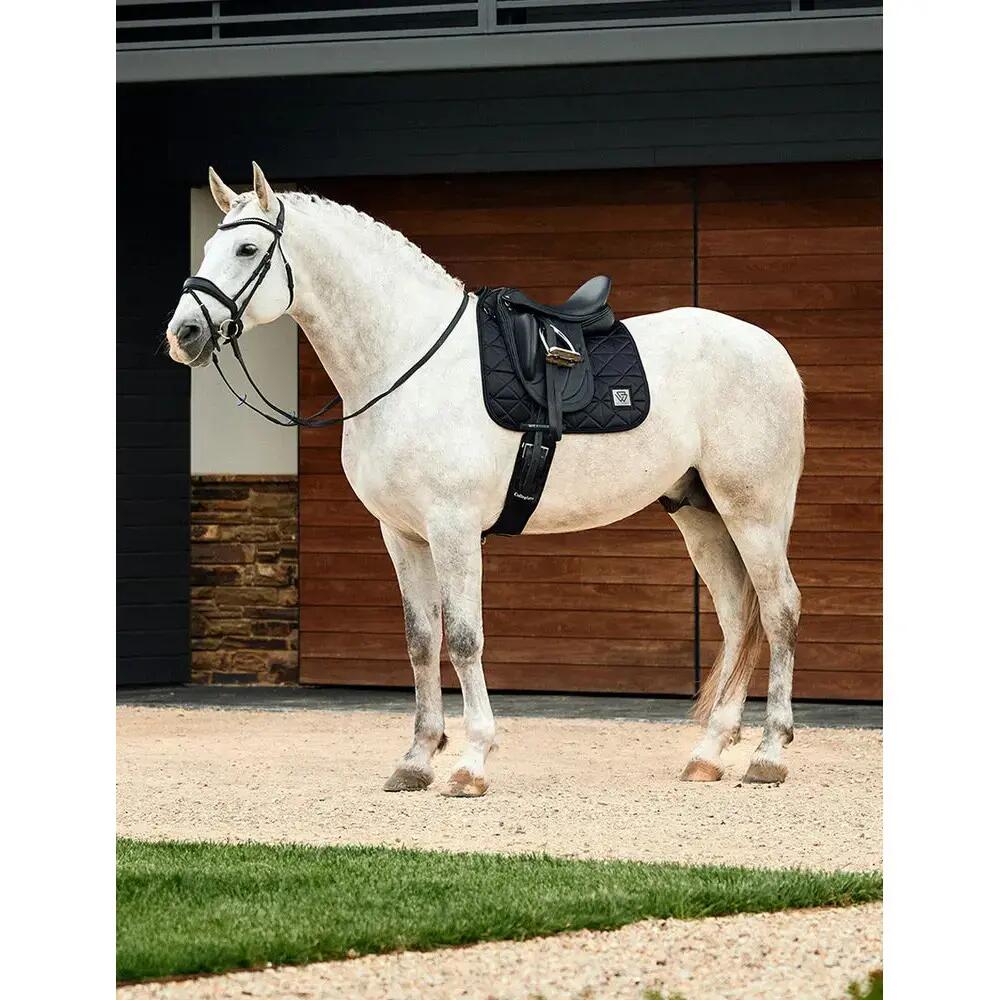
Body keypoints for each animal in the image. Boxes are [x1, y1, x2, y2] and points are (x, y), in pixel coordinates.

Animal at [165, 163, 805, 796]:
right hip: (701, 514)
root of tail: (772, 351)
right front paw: (417, 759)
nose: (184, 334)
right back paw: (708, 754)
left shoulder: (453, 528)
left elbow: (464, 637)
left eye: (248, 249)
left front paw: (471, 762)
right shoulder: (402, 535)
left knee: (779, 610)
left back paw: (770, 754)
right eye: (208, 246)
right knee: (737, 618)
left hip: (754, 513)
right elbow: (422, 639)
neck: (406, 363)